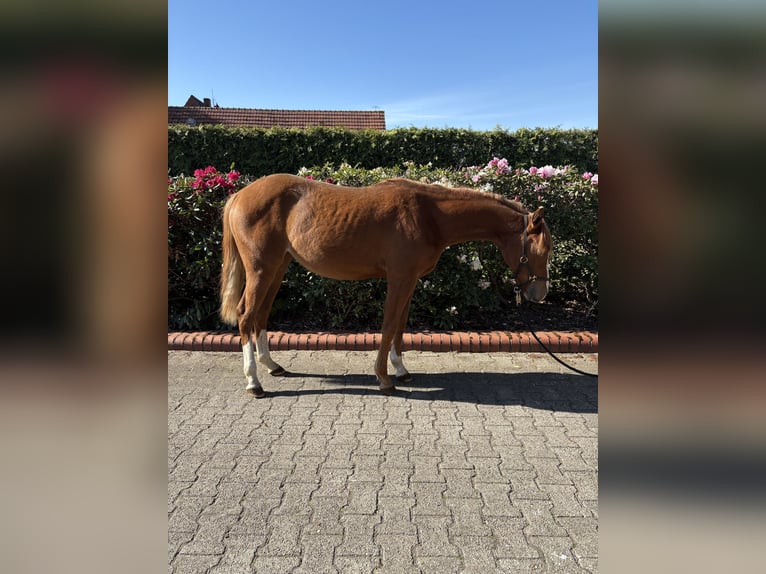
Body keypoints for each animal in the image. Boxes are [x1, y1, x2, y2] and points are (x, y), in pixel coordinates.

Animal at [219, 173, 552, 397]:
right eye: (544, 248)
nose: (540, 293)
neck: (429, 215)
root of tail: (240, 195)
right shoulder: (399, 278)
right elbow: (390, 324)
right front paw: (383, 378)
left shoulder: (410, 280)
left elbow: (401, 326)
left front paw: (401, 370)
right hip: (261, 269)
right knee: (246, 315)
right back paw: (254, 382)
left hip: (277, 268)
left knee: (261, 315)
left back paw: (272, 365)